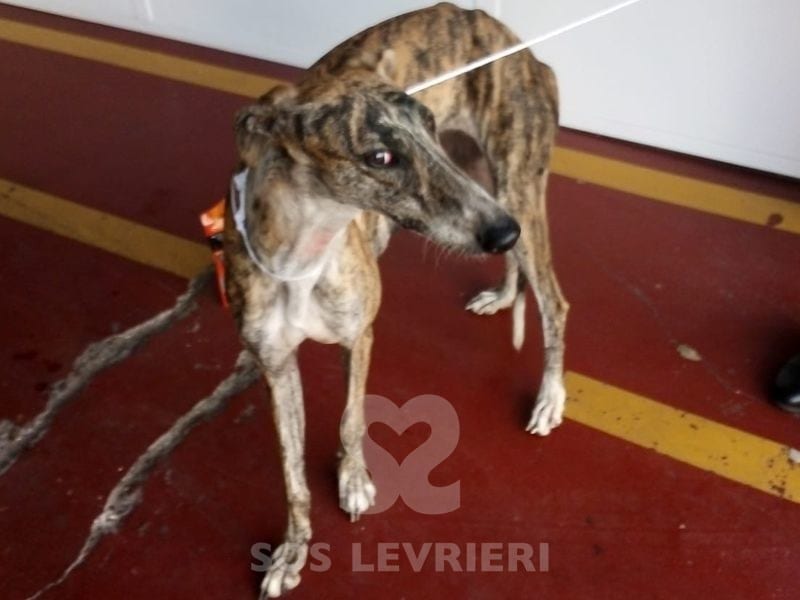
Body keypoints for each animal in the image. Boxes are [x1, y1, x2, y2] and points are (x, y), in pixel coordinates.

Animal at [224, 3, 569, 596]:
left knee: (554, 301)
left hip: (516, 186)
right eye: (380, 156)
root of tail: (520, 47)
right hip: (495, 185)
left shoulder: (360, 336)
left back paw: (549, 399)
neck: (303, 255)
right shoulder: (276, 365)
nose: (501, 232)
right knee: (521, 264)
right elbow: (291, 473)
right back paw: (502, 295)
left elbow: (351, 419)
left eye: (427, 127)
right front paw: (292, 553)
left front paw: (354, 482)